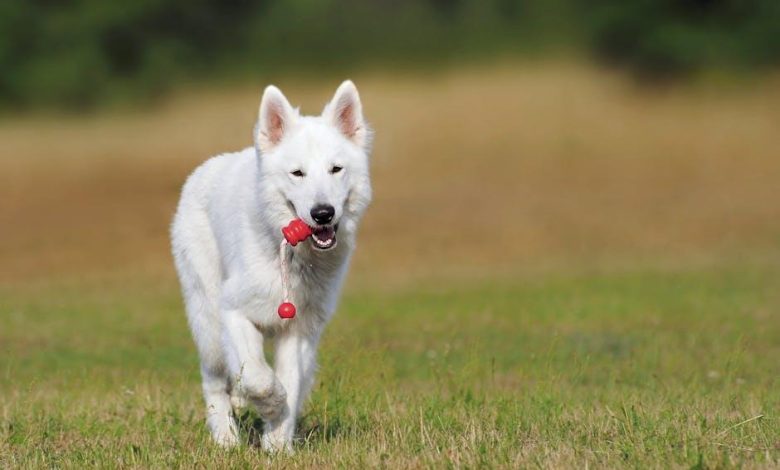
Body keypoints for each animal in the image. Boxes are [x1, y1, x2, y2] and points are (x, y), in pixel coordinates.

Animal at [170, 81, 374, 452]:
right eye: (298, 174)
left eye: (336, 169)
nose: (323, 213)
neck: (293, 256)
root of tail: (205, 168)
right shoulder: (233, 311)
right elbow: (257, 376)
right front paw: (270, 405)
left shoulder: (299, 330)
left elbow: (289, 381)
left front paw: (278, 444)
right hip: (207, 319)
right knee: (214, 380)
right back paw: (225, 437)